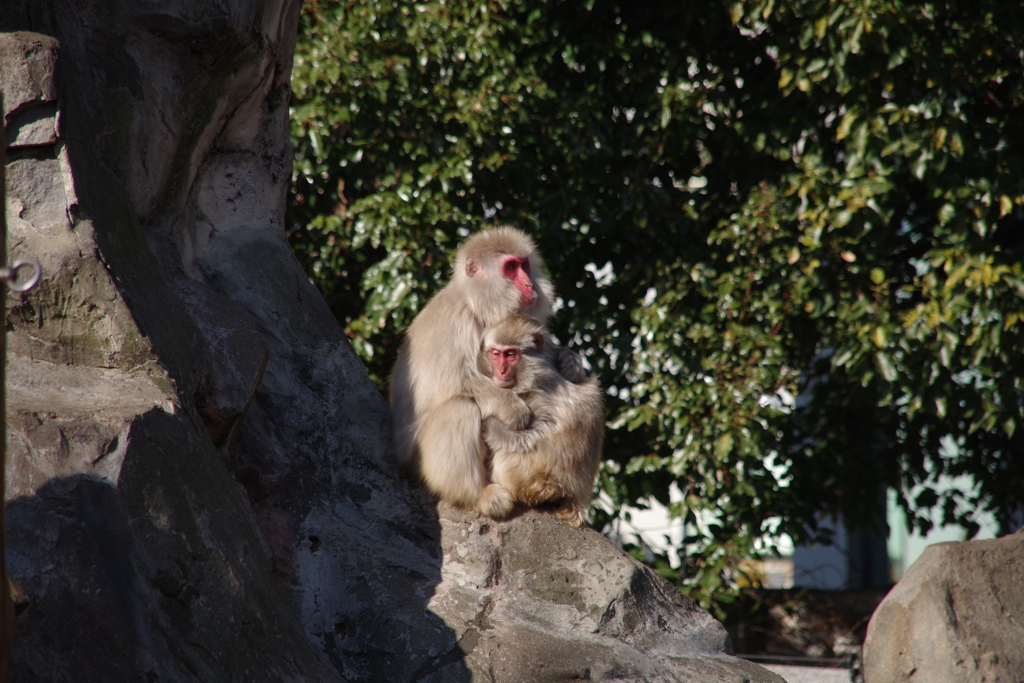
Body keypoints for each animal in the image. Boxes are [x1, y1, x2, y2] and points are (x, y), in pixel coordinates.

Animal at [389, 227, 585, 509]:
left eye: (524, 265)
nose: (529, 285)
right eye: (511, 267)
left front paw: (570, 360)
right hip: (415, 459)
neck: (477, 304)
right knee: (461, 408)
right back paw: (477, 496)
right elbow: (456, 380)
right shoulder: (458, 324)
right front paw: (514, 410)